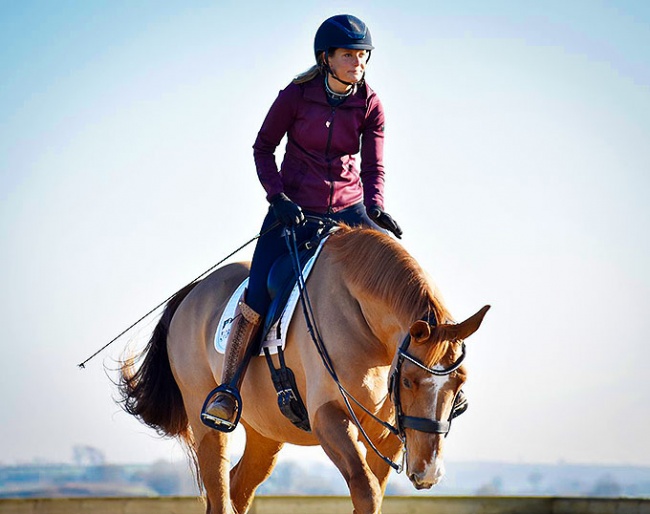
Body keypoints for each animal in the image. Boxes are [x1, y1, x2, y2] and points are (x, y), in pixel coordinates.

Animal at [119, 226, 488, 512]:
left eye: (459, 383)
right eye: (409, 381)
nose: (428, 472)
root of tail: (193, 291)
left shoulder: (389, 437)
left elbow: (373, 492)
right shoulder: (328, 417)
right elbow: (366, 491)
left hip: (266, 435)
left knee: (238, 490)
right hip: (207, 425)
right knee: (220, 492)